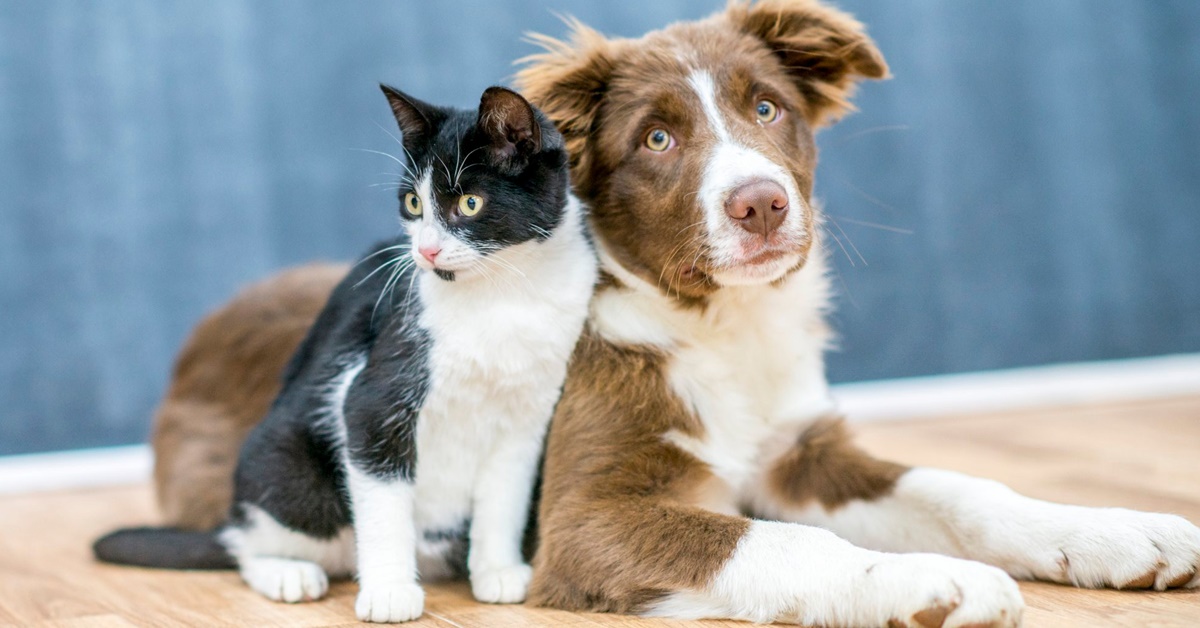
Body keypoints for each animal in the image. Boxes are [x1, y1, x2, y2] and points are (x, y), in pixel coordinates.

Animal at [93, 84, 600, 624]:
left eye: (469, 202)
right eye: (414, 202)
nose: (426, 252)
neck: (502, 295)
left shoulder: (528, 417)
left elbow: (505, 496)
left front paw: (498, 571)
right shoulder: (373, 398)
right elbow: (383, 500)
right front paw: (390, 591)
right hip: (289, 471)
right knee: (247, 543)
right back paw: (287, 572)